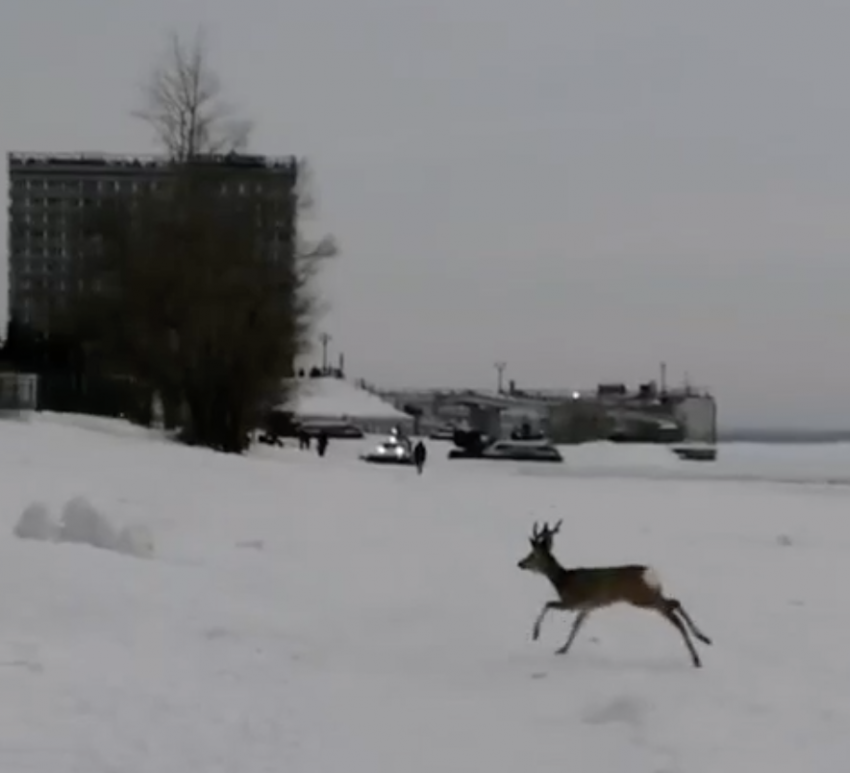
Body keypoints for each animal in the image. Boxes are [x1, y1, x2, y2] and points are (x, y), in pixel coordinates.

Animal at [516, 520, 708, 668]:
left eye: (532, 555)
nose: (520, 563)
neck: (562, 580)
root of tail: (650, 573)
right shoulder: (587, 607)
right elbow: (576, 626)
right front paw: (563, 649)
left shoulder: (572, 601)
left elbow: (548, 604)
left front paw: (535, 634)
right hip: (650, 594)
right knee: (675, 602)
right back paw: (703, 641)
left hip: (641, 597)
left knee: (674, 611)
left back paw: (697, 655)